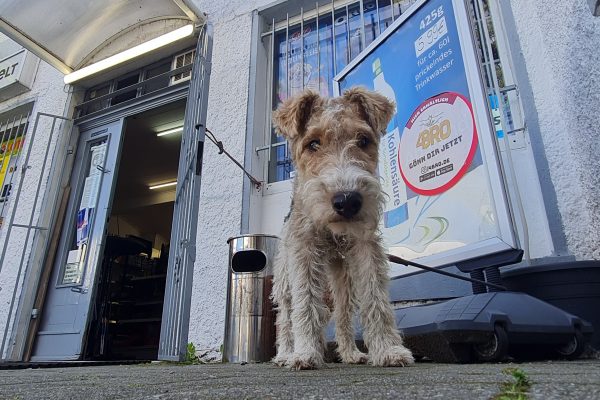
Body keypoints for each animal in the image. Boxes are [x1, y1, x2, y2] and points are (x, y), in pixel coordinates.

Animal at [270, 86, 414, 370]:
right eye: (313, 143)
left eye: (364, 140)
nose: (347, 201)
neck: (332, 231)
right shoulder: (304, 251)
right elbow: (305, 304)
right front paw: (305, 354)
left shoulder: (365, 247)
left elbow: (375, 298)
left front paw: (388, 350)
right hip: (284, 280)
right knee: (286, 318)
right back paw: (286, 353)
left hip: (342, 280)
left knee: (343, 315)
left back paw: (350, 354)